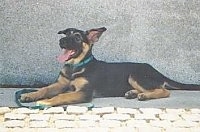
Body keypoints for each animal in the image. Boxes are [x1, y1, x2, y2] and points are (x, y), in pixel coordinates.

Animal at [20, 27, 200, 106]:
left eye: (77, 37)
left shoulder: (84, 93)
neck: (75, 66)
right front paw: (30, 95)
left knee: (164, 90)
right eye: (66, 34)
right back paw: (133, 93)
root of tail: (156, 71)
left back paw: (144, 95)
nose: (61, 41)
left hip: (135, 75)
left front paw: (46, 102)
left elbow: (61, 96)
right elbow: (45, 89)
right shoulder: (59, 84)